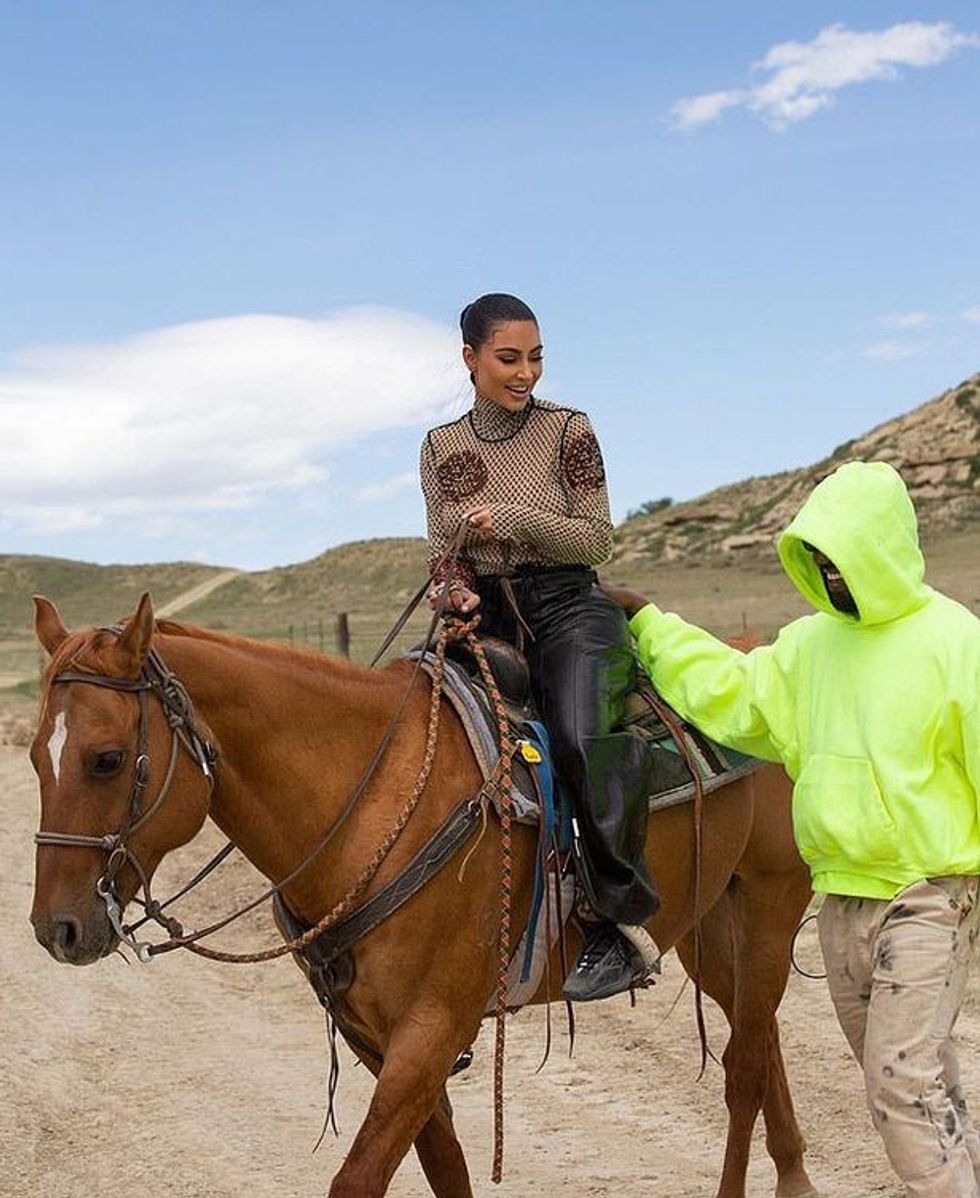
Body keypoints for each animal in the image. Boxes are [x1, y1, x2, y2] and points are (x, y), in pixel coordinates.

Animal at [28, 592, 816, 1198]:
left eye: (106, 760)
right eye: (36, 755)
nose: (54, 930)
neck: (369, 799)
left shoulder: (432, 1028)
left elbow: (359, 1178)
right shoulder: (375, 1038)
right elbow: (445, 1169)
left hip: (770, 906)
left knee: (744, 1068)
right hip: (705, 925)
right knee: (762, 1037)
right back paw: (795, 1176)